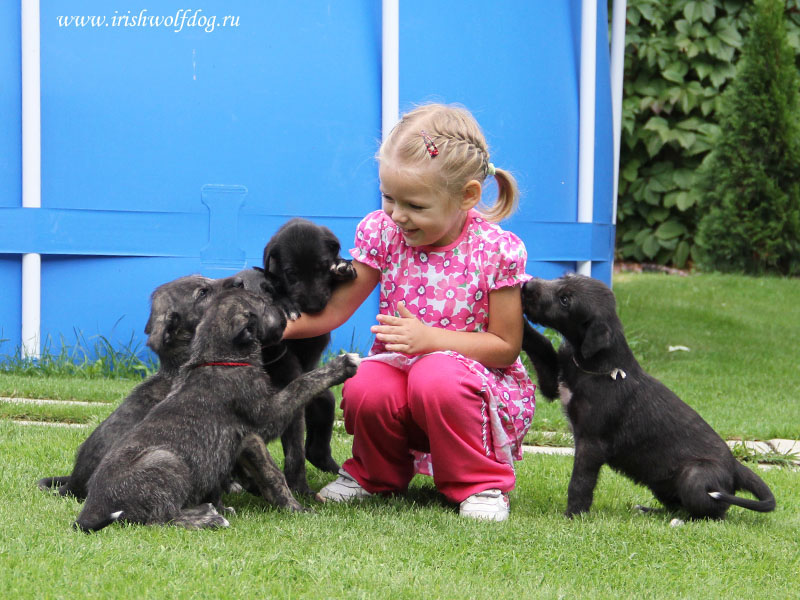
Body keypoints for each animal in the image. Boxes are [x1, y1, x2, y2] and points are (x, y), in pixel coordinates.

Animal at [73, 288, 360, 532]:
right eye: (264, 304)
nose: (289, 312)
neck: (218, 357)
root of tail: (90, 511)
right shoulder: (266, 417)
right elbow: (301, 386)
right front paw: (340, 366)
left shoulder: (243, 440)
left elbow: (263, 475)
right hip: (165, 461)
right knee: (160, 519)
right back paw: (206, 517)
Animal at [260, 218, 356, 494]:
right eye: (291, 273)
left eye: (321, 267)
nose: (312, 307)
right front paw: (286, 304)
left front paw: (344, 266)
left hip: (324, 402)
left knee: (316, 449)